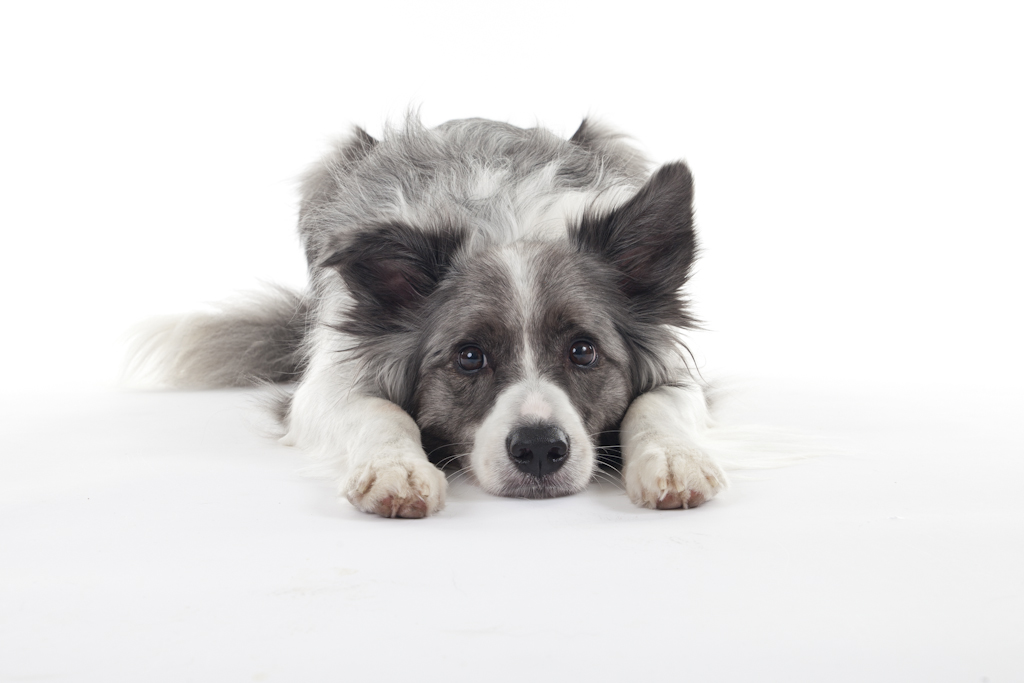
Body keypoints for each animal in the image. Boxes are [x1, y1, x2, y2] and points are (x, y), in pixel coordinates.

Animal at [136, 116, 745, 518]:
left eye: (584, 351)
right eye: (469, 357)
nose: (540, 450)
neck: (505, 227)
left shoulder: (681, 374)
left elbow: (657, 403)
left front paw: (675, 460)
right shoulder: (322, 386)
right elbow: (377, 411)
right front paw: (395, 469)